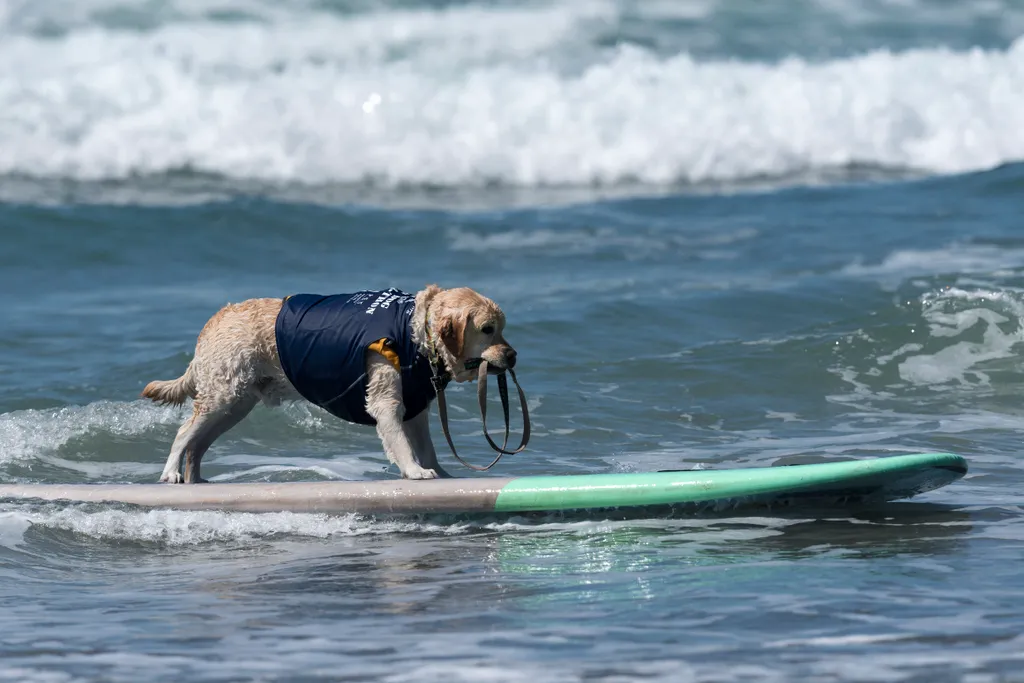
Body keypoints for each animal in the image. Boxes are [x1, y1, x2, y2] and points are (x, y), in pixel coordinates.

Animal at [140, 286, 516, 483]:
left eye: (502, 328)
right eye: (487, 329)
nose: (513, 356)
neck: (415, 332)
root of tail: (215, 319)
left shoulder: (415, 408)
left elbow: (427, 446)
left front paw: (439, 472)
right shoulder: (387, 403)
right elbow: (402, 445)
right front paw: (414, 471)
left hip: (235, 404)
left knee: (198, 444)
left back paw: (195, 478)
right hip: (223, 395)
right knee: (183, 434)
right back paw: (171, 473)